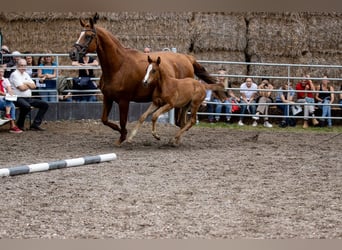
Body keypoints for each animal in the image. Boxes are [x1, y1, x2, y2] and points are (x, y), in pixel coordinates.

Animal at [68, 13, 215, 146]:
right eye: (79, 35)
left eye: (88, 36)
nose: (72, 54)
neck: (118, 66)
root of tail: (187, 58)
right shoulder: (108, 98)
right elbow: (104, 119)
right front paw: (122, 133)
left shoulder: (124, 101)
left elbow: (123, 121)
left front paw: (123, 136)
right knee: (182, 123)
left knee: (182, 122)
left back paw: (175, 140)